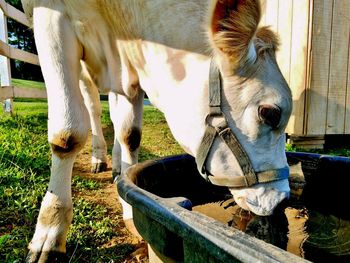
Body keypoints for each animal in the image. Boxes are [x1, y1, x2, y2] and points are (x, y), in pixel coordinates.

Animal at [20, 0, 292, 262]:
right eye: (269, 112)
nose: (282, 199)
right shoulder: (51, 15)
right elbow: (67, 135)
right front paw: (50, 233)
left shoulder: (131, 67)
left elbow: (130, 134)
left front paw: (128, 203)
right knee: (93, 108)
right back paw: (99, 158)